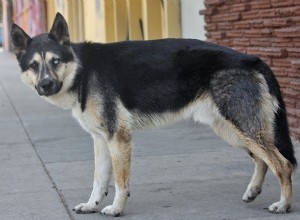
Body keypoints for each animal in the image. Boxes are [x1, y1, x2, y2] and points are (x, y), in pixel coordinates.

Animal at [10, 12, 296, 216]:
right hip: (232, 130)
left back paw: (283, 205)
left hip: (243, 128)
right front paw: (91, 204)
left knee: (282, 164)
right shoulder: (101, 141)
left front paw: (116, 209)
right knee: (262, 160)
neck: (82, 70)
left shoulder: (118, 139)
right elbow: (99, 179)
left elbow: (120, 181)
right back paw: (253, 191)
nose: (46, 85)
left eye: (55, 61)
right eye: (34, 66)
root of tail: (252, 58)